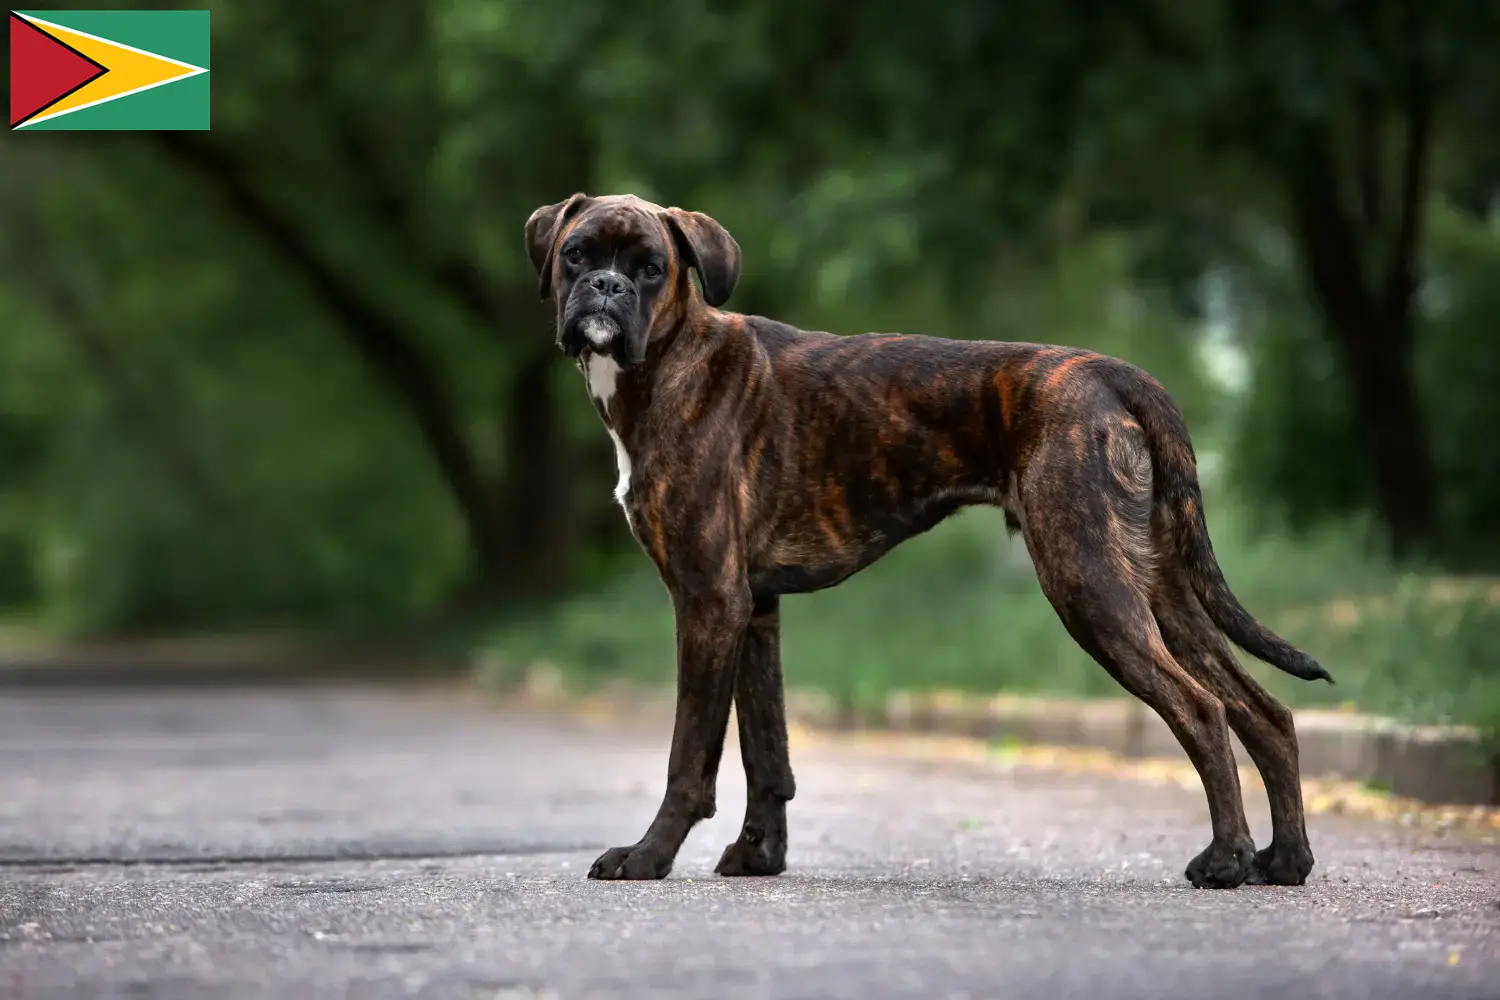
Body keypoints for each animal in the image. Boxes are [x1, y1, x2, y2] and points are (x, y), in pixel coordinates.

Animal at [522, 189, 1332, 893]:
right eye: (576, 253)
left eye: (650, 267)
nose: (602, 286)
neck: (669, 362)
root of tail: (1115, 372)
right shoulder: (753, 611)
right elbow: (767, 751)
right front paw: (758, 856)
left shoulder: (708, 601)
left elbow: (691, 754)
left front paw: (647, 857)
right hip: (1159, 587)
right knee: (1263, 712)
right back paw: (1283, 860)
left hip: (1090, 583)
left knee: (1201, 710)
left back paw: (1225, 861)